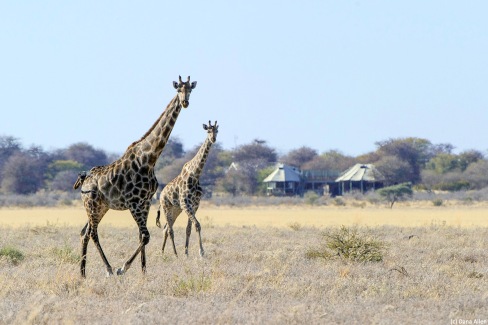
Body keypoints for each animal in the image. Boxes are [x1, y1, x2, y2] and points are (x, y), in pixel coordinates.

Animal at [73, 75, 195, 276]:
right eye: (178, 88)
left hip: (100, 207)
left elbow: (141, 236)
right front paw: (123, 268)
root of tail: (83, 180)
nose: (185, 102)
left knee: (84, 232)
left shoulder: (145, 202)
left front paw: (144, 272)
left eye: (190, 89)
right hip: (92, 205)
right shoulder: (134, 203)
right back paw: (108, 269)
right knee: (92, 233)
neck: (150, 158)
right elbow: (145, 236)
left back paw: (82, 274)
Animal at [156, 119, 219, 256]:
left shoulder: (195, 204)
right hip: (166, 207)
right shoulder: (186, 203)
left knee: (165, 228)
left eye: (217, 130)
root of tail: (161, 194)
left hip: (175, 209)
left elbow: (189, 228)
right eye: (208, 130)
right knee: (170, 230)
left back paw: (162, 252)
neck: (195, 174)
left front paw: (187, 253)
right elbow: (197, 225)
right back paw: (174, 254)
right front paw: (201, 252)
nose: (213, 139)